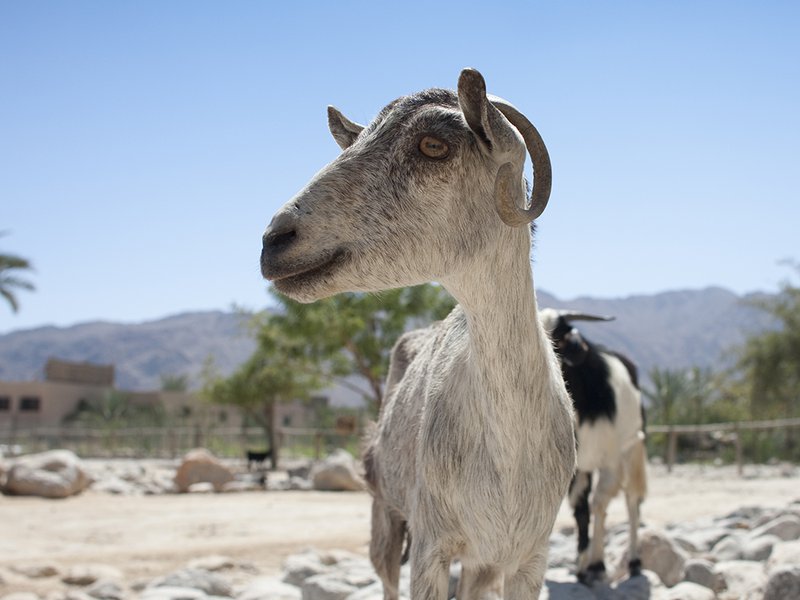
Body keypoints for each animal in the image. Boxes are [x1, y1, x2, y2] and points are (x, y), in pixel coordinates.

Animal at [260, 68, 576, 600]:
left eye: (433, 145)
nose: (274, 241)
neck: (508, 454)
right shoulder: (431, 543)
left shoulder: (529, 556)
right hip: (384, 512)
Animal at [539, 309, 647, 584]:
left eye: (559, 342)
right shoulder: (575, 469)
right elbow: (581, 509)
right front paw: (581, 565)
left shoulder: (610, 462)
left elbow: (599, 505)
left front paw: (595, 564)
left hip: (632, 448)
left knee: (631, 501)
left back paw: (633, 561)